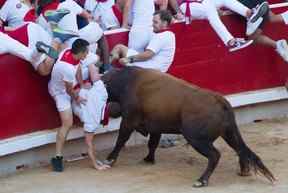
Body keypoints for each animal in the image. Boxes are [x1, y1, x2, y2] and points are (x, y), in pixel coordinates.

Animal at [101, 66, 274, 187]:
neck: (125, 82)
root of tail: (220, 100)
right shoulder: (156, 126)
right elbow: (152, 143)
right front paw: (148, 159)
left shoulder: (129, 120)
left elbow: (121, 140)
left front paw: (109, 160)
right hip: (229, 133)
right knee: (240, 148)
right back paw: (244, 171)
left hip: (196, 139)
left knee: (215, 155)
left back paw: (201, 181)